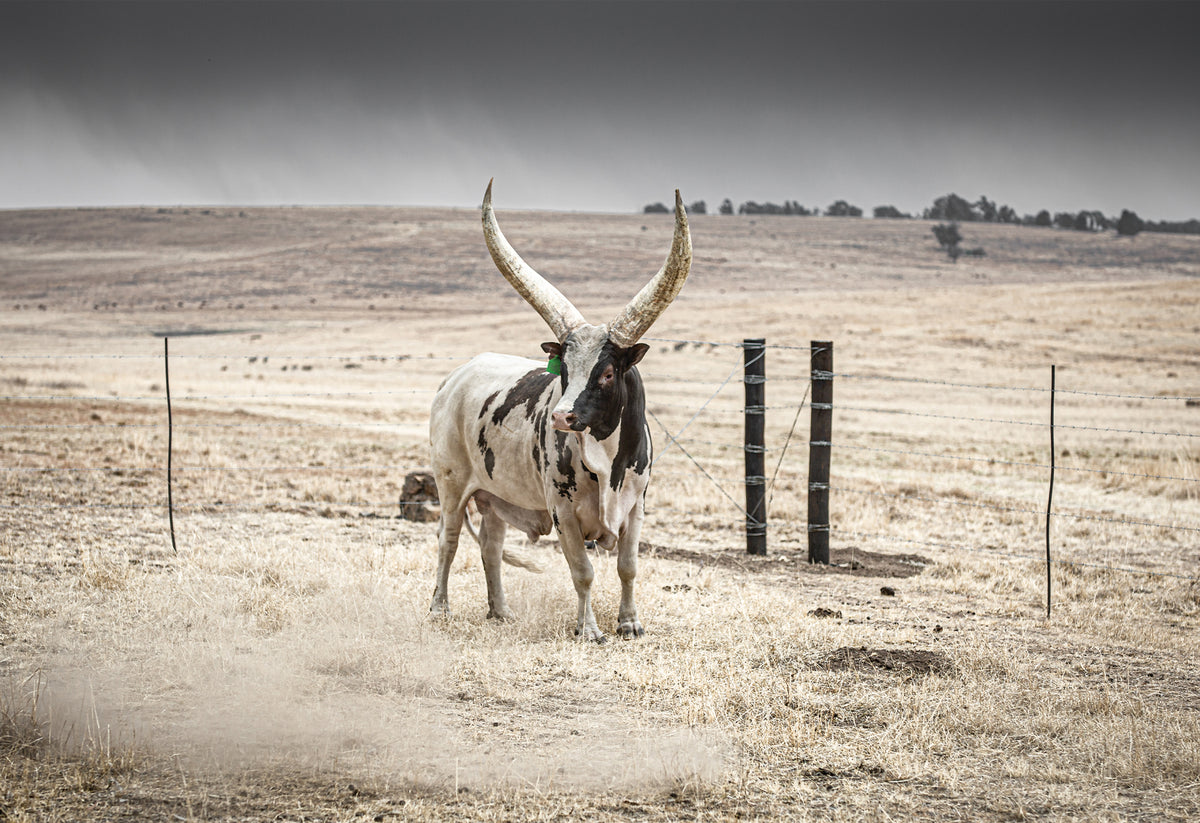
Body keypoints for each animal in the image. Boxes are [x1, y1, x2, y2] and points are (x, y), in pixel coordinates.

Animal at [428, 180, 691, 642]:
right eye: (564, 369)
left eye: (608, 373)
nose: (561, 417)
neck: (607, 462)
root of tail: (455, 378)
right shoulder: (563, 511)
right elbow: (582, 572)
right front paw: (589, 630)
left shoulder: (636, 507)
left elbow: (628, 567)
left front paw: (630, 623)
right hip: (451, 483)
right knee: (449, 538)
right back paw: (439, 608)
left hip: (495, 495)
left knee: (491, 545)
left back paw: (501, 611)